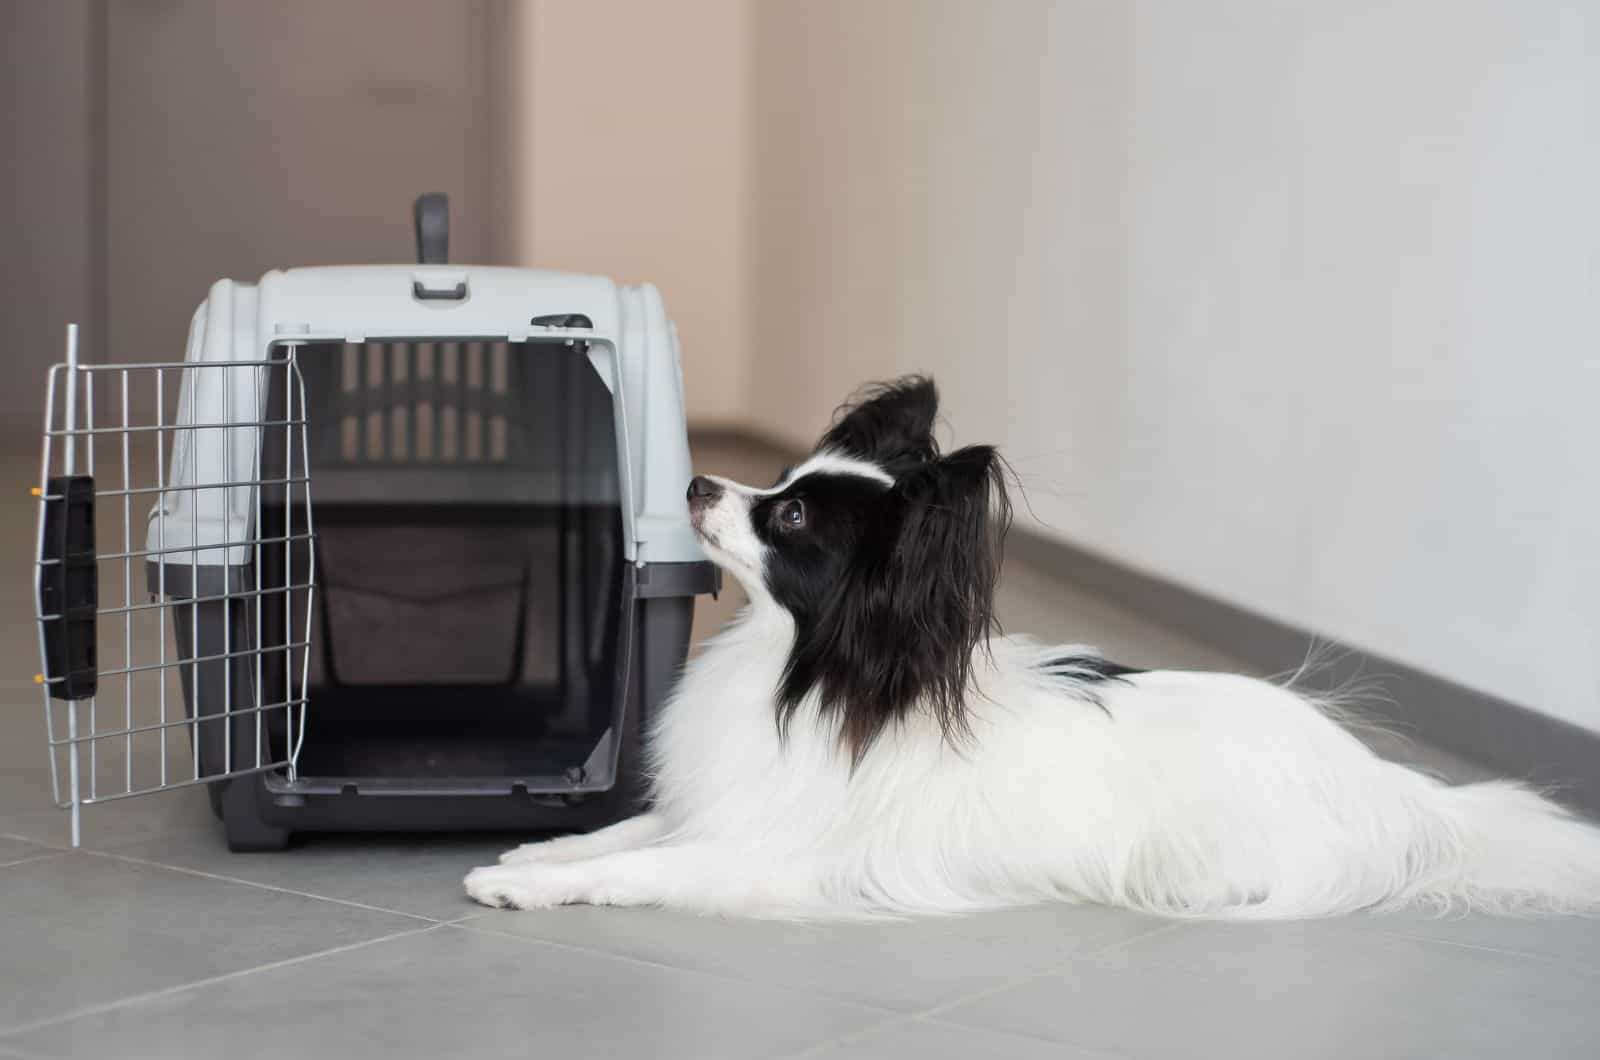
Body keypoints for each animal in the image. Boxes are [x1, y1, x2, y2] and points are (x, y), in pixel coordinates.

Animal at [467, 379, 1600, 922]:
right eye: (780, 477)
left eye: (786, 518)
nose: (701, 483)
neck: (802, 668)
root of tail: (1394, 793)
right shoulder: (725, 804)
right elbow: (634, 828)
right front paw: (540, 851)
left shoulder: (768, 853)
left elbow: (648, 865)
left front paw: (532, 887)